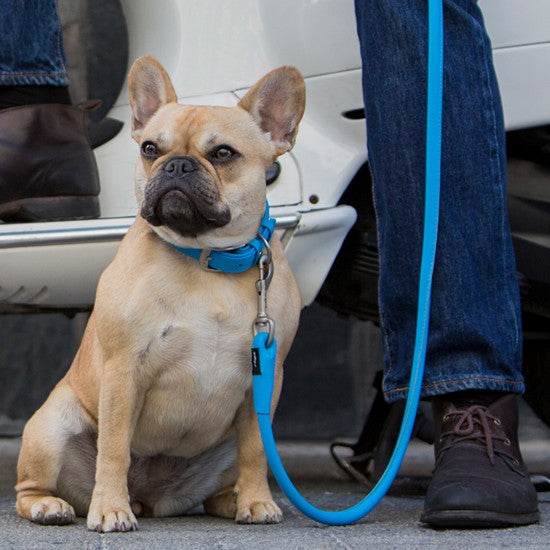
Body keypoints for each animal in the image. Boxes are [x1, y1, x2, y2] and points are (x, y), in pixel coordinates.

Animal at [14, 56, 306, 536]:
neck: (208, 260)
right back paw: (51, 505)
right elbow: (115, 446)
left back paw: (234, 499)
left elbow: (257, 451)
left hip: (221, 446)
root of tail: (149, 497)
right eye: (150, 148)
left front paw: (257, 500)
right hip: (51, 426)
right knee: (32, 486)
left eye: (223, 154)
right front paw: (110, 509)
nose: (177, 166)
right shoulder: (123, 371)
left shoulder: (268, 378)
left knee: (220, 484)